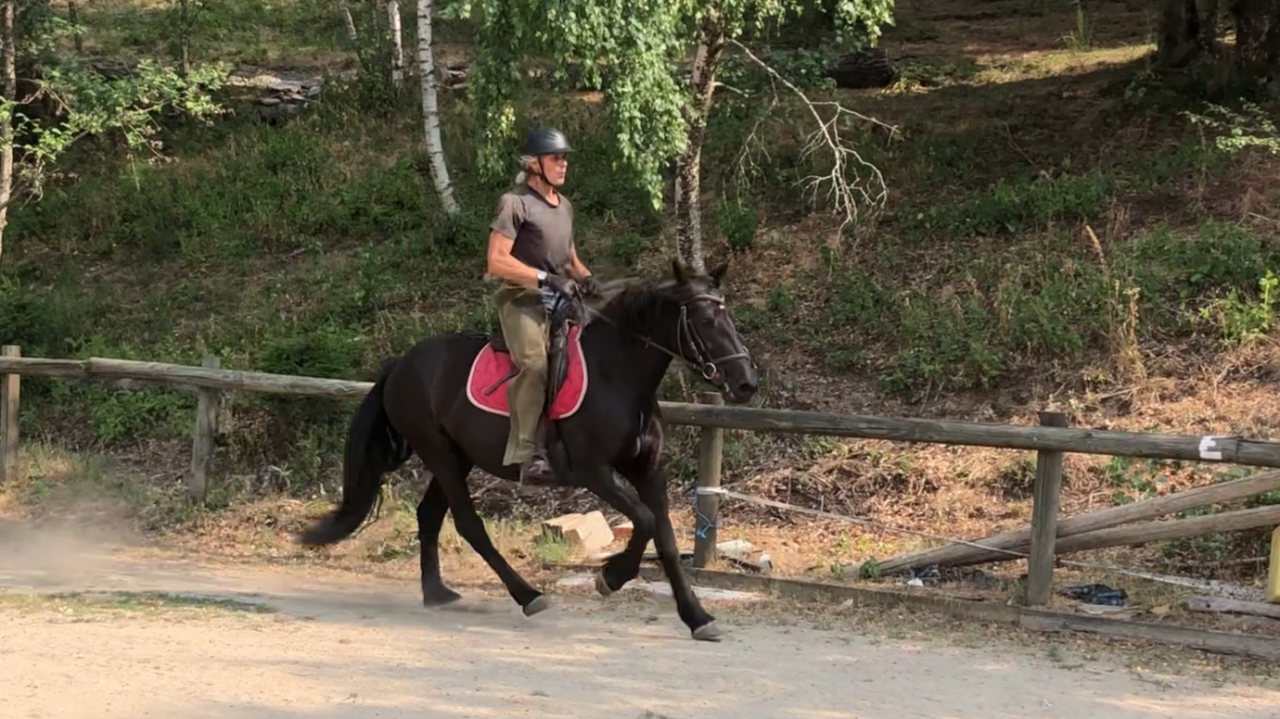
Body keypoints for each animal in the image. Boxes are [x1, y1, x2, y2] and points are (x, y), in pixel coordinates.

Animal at [296, 259, 759, 641]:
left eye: (730, 316)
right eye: (704, 319)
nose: (746, 383)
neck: (618, 377)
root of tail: (401, 365)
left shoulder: (646, 470)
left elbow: (664, 537)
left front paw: (698, 618)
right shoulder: (593, 471)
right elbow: (644, 521)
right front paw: (610, 578)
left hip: (456, 457)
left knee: (430, 515)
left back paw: (438, 593)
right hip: (441, 455)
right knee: (469, 525)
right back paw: (528, 595)